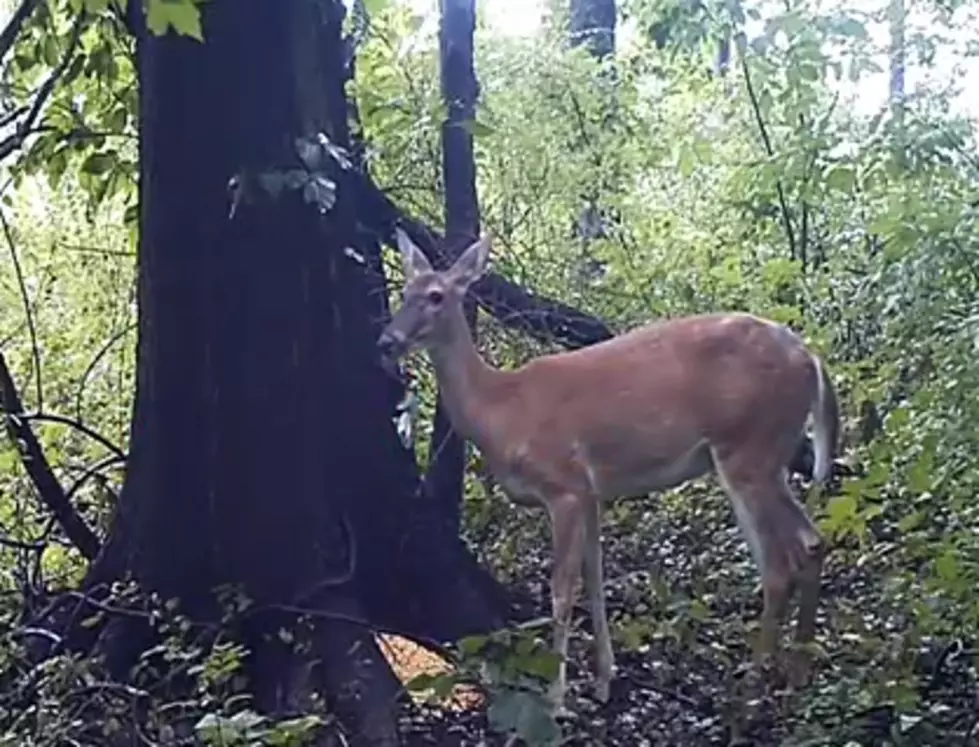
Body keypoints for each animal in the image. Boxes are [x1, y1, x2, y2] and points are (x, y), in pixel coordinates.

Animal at [378, 231, 844, 716]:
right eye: (404, 292)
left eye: (436, 296)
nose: (386, 340)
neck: (501, 409)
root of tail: (812, 359)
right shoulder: (592, 493)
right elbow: (596, 580)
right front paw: (604, 680)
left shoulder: (563, 484)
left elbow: (563, 589)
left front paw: (556, 698)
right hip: (763, 457)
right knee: (811, 543)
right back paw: (797, 672)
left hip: (749, 449)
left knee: (778, 564)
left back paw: (752, 692)